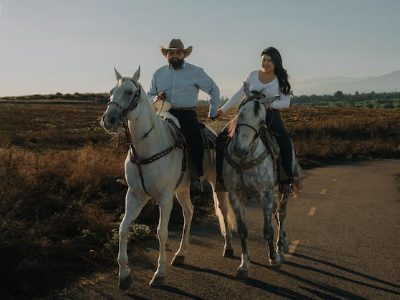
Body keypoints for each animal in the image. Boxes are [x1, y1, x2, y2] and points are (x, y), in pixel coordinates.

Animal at [100, 67, 234, 288]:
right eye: (111, 91)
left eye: (129, 92)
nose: (108, 120)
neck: (147, 148)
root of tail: (213, 134)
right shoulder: (135, 195)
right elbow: (123, 228)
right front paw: (124, 274)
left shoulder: (164, 197)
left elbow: (161, 232)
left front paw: (159, 274)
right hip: (182, 189)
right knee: (189, 211)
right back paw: (180, 254)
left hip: (216, 182)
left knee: (222, 211)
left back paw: (229, 247)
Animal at [223, 83, 298, 280]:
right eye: (241, 113)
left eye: (262, 121)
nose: (240, 149)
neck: (244, 160)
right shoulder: (235, 196)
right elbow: (242, 230)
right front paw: (244, 265)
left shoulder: (265, 194)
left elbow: (268, 230)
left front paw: (274, 258)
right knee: (276, 212)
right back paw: (283, 242)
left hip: (283, 188)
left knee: (281, 214)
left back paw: (281, 248)